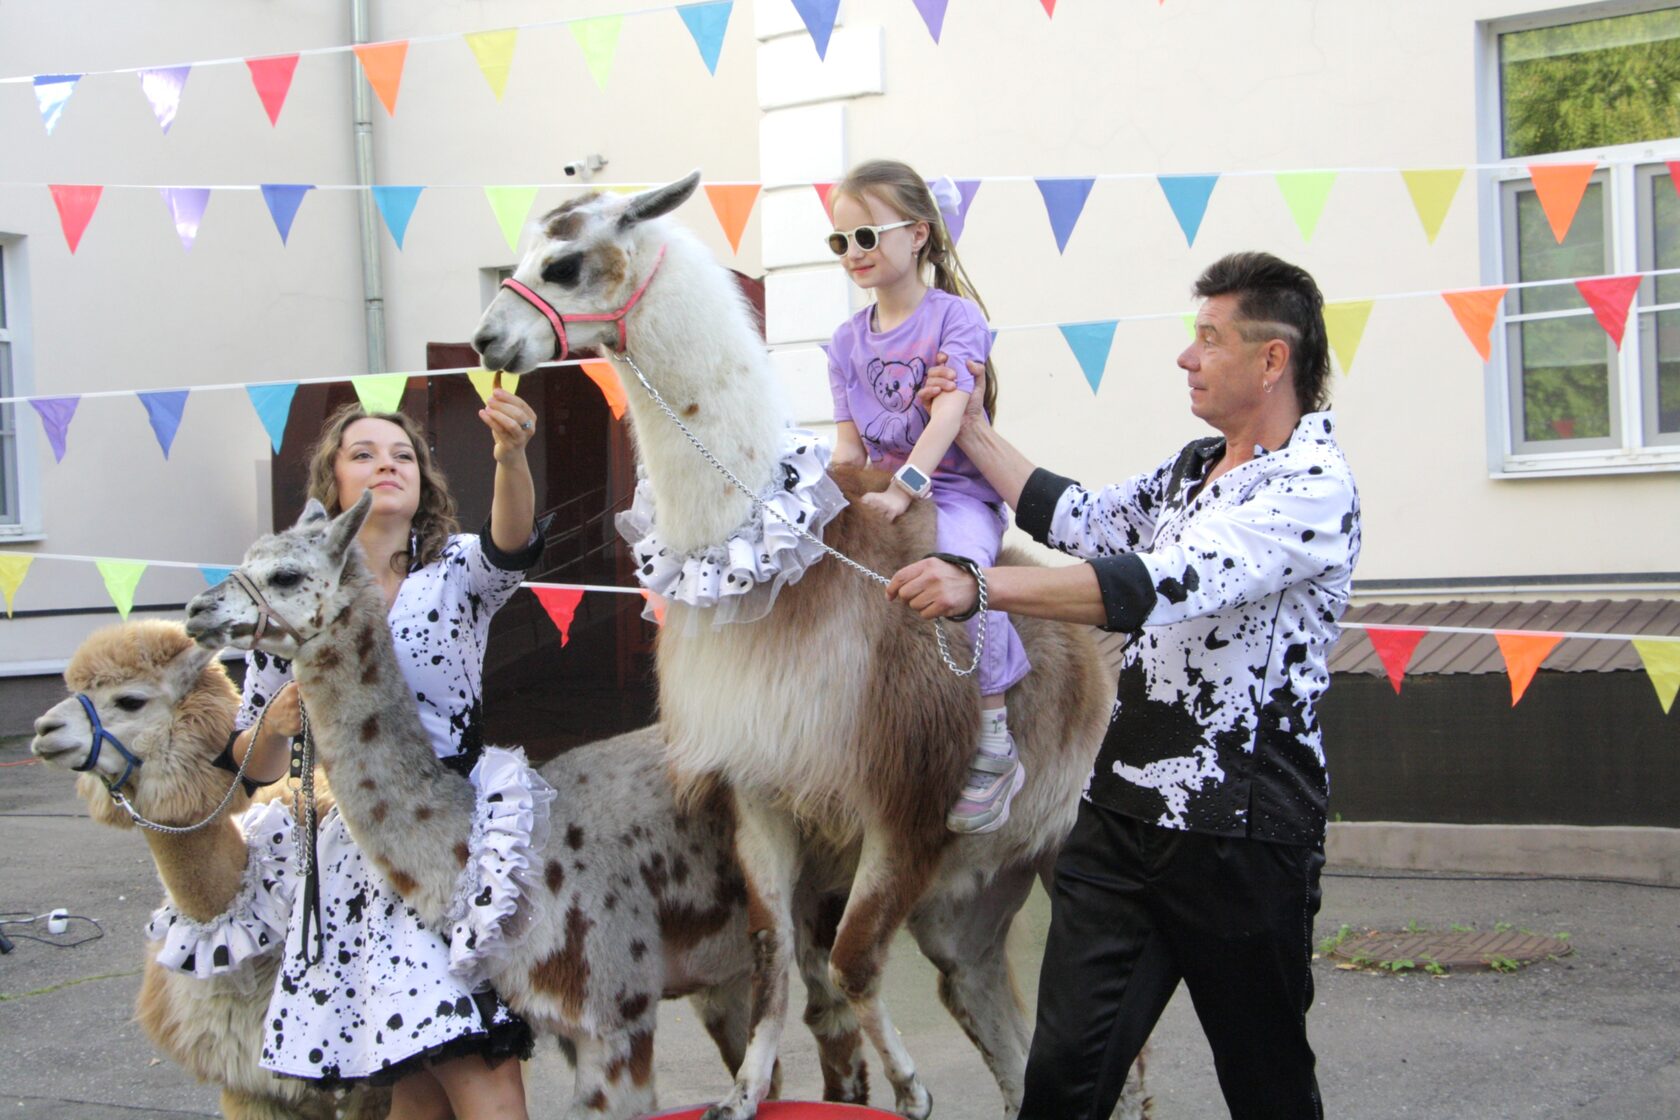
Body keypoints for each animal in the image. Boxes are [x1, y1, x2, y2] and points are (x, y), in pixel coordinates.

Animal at [470, 173, 1148, 1120]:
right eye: (523, 250)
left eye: (563, 262)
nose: (486, 338)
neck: (779, 565)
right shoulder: (760, 782)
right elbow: (774, 953)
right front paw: (746, 1090)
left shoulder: (906, 795)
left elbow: (855, 955)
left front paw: (908, 1085)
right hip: (979, 891)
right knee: (981, 993)